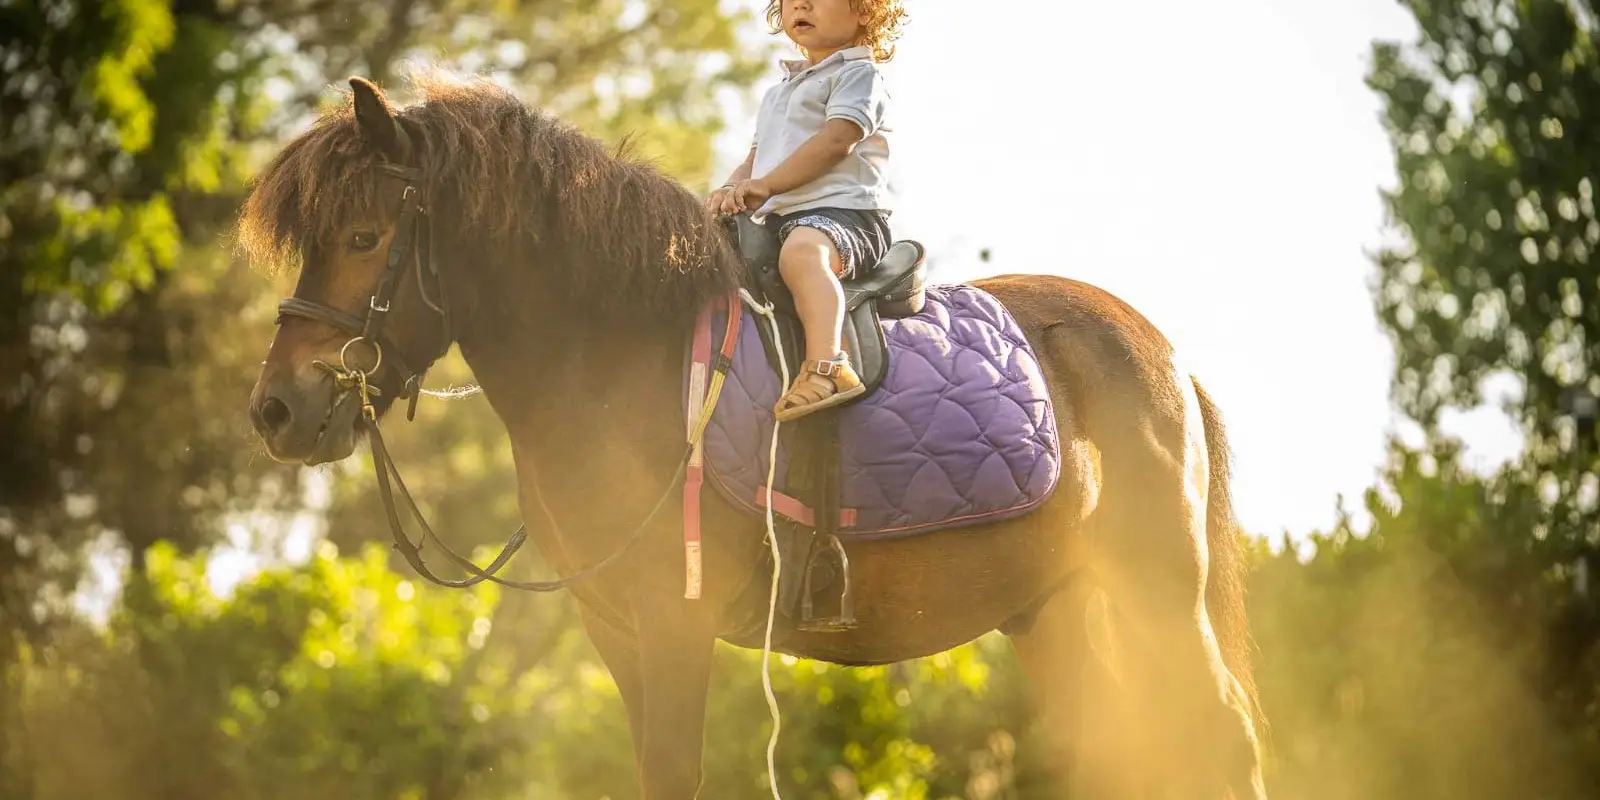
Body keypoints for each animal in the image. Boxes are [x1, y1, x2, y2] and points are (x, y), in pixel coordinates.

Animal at [239, 71, 1268, 799]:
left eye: (365, 236)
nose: (276, 411)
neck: (617, 356)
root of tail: (1162, 355)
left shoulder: (674, 621)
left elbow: (675, 775)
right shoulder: (617, 631)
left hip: (1157, 592)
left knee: (1224, 737)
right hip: (1051, 608)